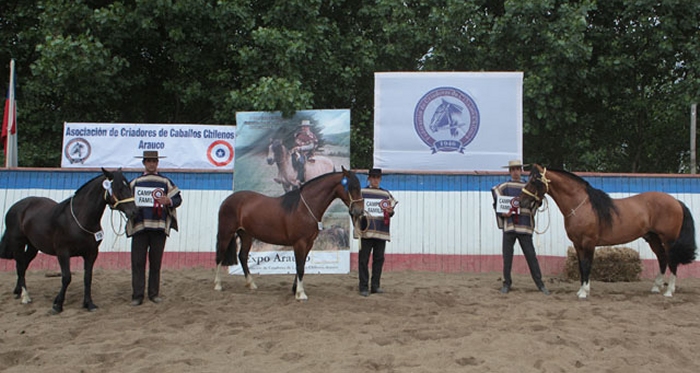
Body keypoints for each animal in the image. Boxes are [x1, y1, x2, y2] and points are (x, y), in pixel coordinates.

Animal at [0, 168, 138, 310]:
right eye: (119, 188)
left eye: (128, 186)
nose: (134, 211)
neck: (80, 219)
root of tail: (15, 207)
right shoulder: (63, 252)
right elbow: (67, 277)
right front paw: (58, 304)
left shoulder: (91, 253)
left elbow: (88, 278)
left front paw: (89, 303)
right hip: (18, 243)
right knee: (20, 265)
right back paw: (25, 296)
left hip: (33, 246)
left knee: (23, 264)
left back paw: (18, 291)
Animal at [215, 166, 364, 300]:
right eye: (352, 187)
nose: (359, 211)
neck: (303, 208)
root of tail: (227, 200)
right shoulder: (299, 243)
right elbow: (300, 266)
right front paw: (300, 294)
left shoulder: (308, 243)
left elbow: (301, 265)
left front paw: (295, 289)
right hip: (226, 233)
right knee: (220, 255)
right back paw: (218, 285)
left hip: (246, 235)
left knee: (243, 256)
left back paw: (251, 284)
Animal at [520, 164, 696, 298]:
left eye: (534, 181)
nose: (521, 201)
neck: (581, 206)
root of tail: (676, 201)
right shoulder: (577, 244)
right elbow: (581, 266)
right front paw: (581, 290)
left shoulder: (589, 242)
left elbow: (587, 265)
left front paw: (584, 292)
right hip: (653, 238)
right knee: (662, 259)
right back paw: (655, 287)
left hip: (669, 240)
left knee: (672, 260)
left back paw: (669, 291)